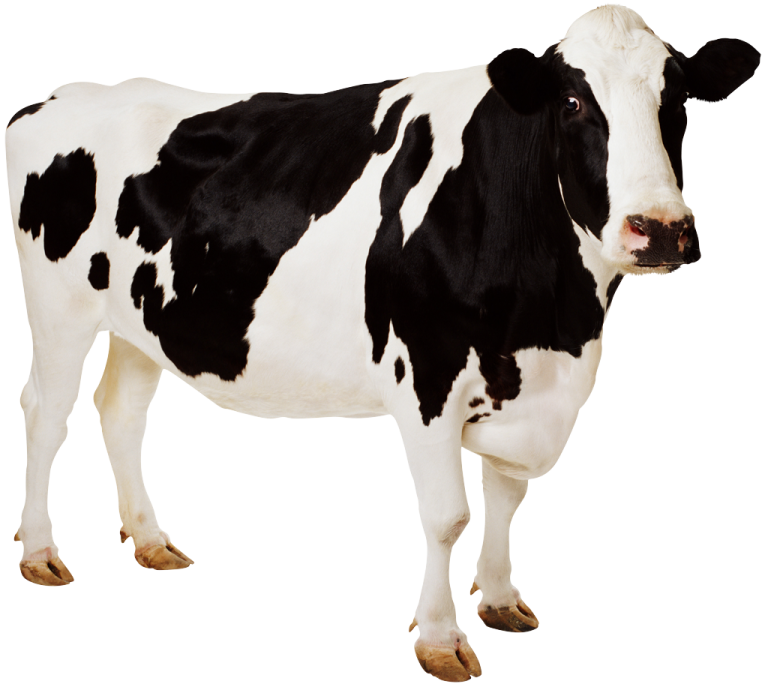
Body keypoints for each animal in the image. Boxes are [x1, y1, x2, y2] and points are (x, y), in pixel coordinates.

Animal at [5, 3, 759, 681]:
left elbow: (506, 494)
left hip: (142, 320)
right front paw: (441, 639)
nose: (660, 229)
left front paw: (501, 598)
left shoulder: (527, 384)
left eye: (676, 99)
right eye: (573, 101)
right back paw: (40, 551)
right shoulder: (427, 377)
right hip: (59, 308)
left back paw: (151, 538)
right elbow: (449, 514)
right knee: (47, 411)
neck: (553, 320)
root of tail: (59, 97)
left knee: (120, 410)